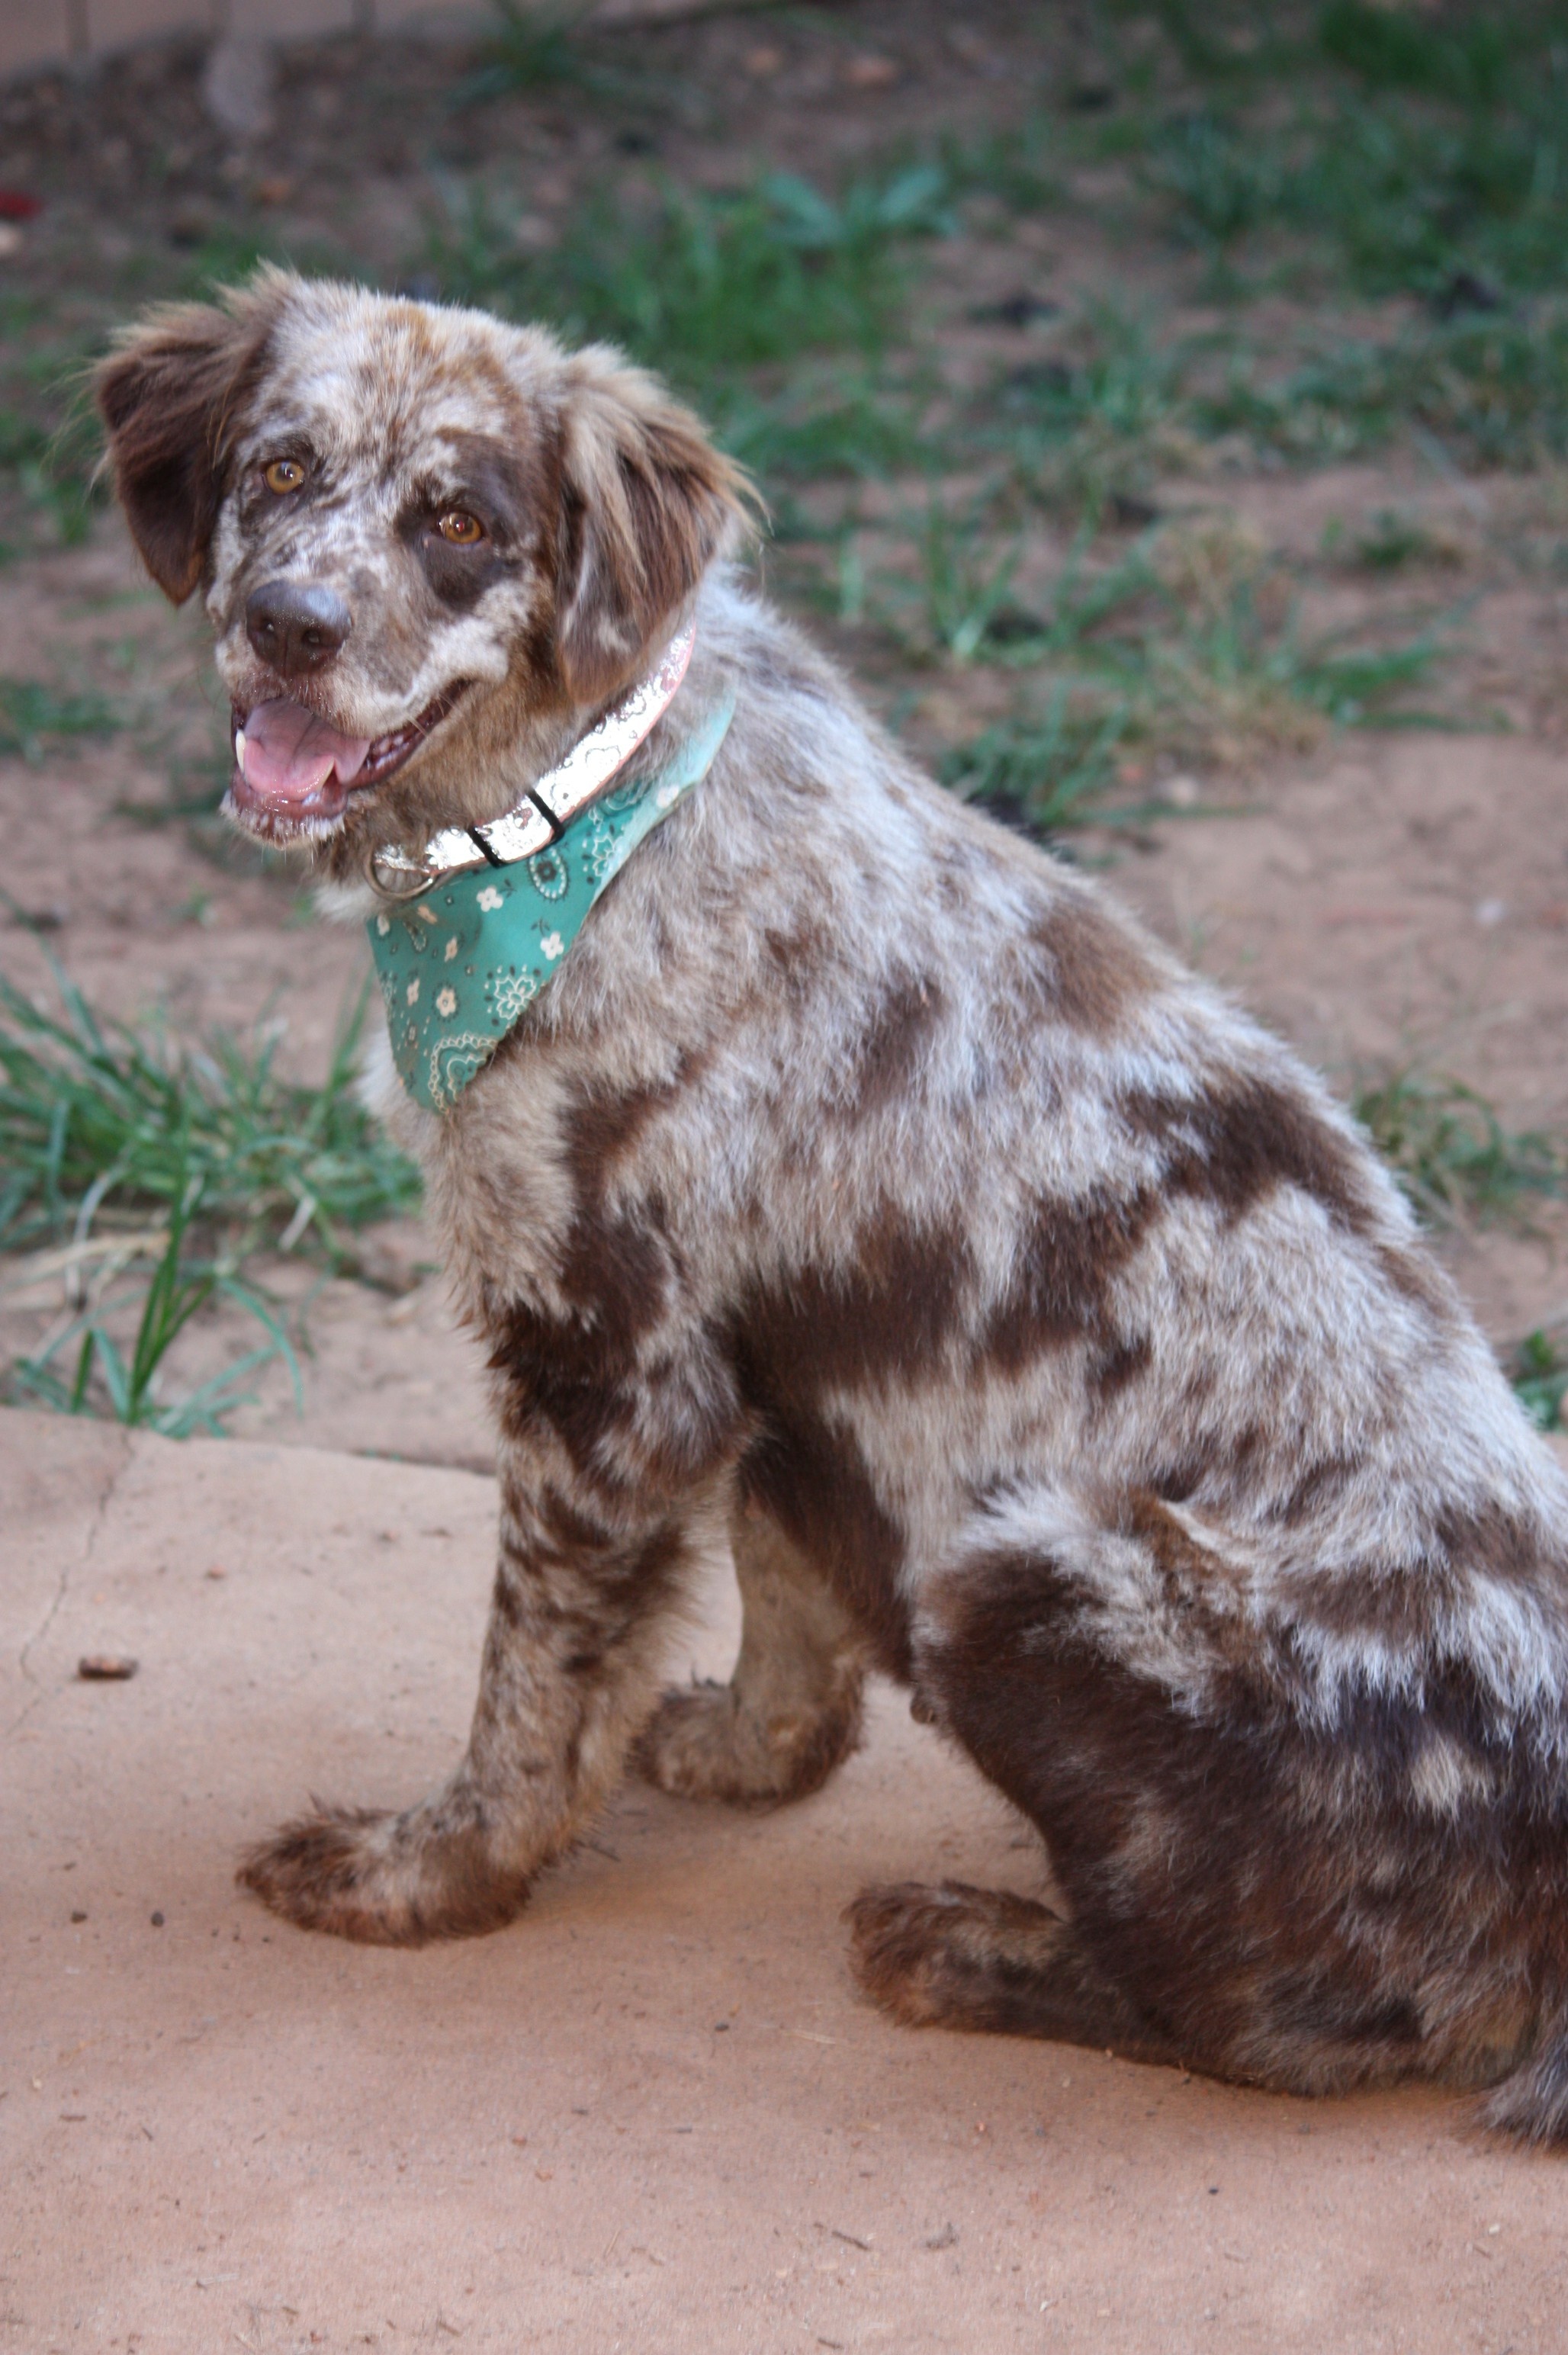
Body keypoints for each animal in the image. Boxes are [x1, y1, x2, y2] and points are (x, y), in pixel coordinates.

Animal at [95, 271, 1563, 2138]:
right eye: (278, 469)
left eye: (459, 521)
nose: (285, 625)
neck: (573, 832)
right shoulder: (772, 1379)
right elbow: (783, 1601)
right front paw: (738, 1752)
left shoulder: (612, 1377)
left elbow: (524, 1698)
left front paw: (419, 1877)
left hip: (1020, 1570)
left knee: (1259, 2016)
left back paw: (970, 1947)